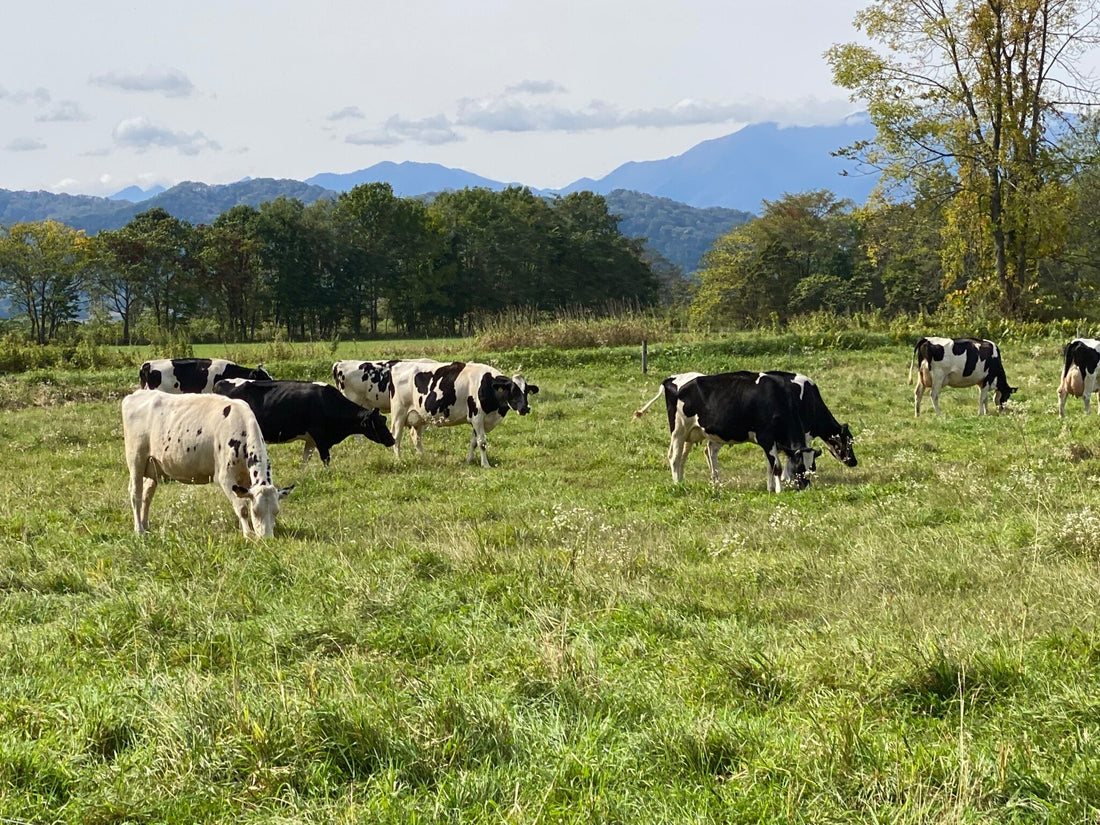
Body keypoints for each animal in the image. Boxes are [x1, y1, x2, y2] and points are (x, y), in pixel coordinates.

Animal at [121, 391, 292, 539]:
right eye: (256, 511)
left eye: (276, 512)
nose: (267, 539)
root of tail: (136, 394)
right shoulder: (224, 477)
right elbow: (242, 508)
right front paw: (248, 535)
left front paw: (243, 529)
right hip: (136, 459)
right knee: (135, 493)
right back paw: (139, 530)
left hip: (152, 466)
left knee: (146, 495)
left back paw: (145, 525)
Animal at [212, 380, 393, 468]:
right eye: (378, 423)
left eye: (384, 420)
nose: (392, 440)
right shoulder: (320, 436)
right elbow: (326, 459)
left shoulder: (311, 440)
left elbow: (305, 460)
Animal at [389, 360, 539, 468]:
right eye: (513, 391)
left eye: (526, 391)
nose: (525, 408)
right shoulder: (477, 417)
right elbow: (482, 442)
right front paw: (485, 465)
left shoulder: (477, 420)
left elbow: (473, 442)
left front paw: (469, 460)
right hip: (399, 413)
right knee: (396, 437)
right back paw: (399, 460)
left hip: (419, 417)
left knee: (416, 437)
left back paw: (423, 457)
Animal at [633, 374, 822, 495]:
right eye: (799, 467)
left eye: (812, 467)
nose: (806, 487)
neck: (776, 399)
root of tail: (671, 380)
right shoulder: (766, 437)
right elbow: (776, 466)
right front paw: (778, 490)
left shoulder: (772, 442)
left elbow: (770, 465)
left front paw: (770, 488)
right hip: (679, 430)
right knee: (674, 457)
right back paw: (677, 484)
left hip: (690, 433)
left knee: (682, 459)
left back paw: (682, 481)